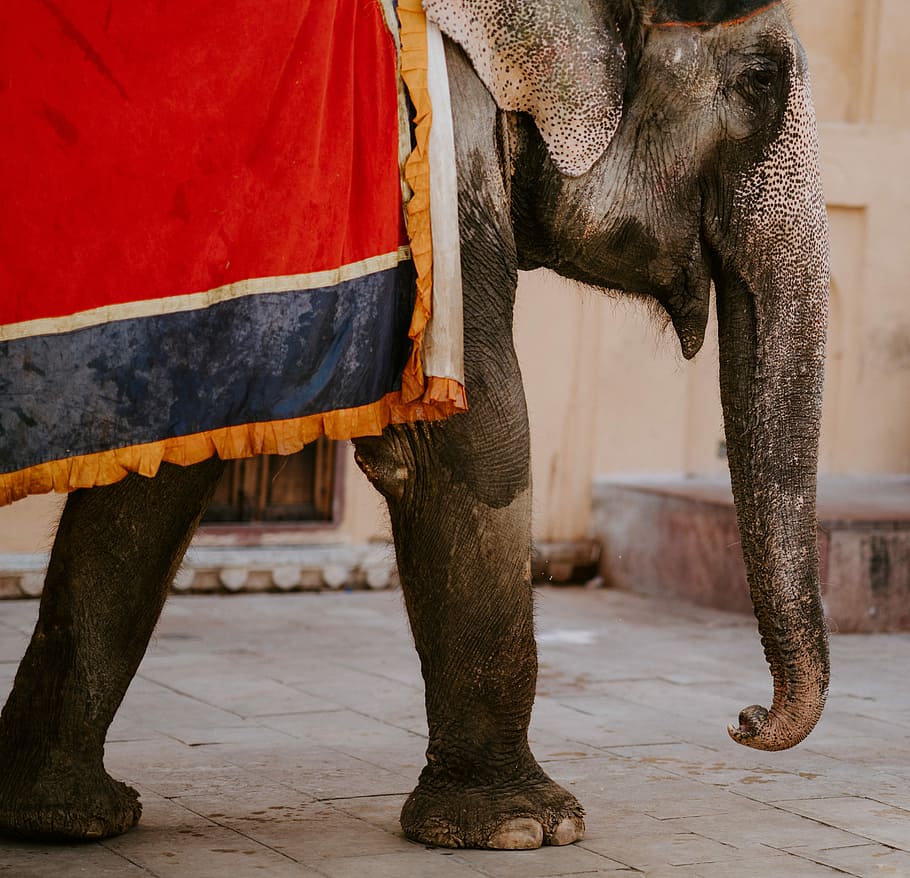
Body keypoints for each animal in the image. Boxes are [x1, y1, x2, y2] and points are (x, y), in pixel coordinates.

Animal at [0, 0, 829, 851]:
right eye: (760, 83)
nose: (745, 719)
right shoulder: (429, 154)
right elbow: (478, 435)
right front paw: (526, 828)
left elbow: (169, 447)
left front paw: (65, 819)